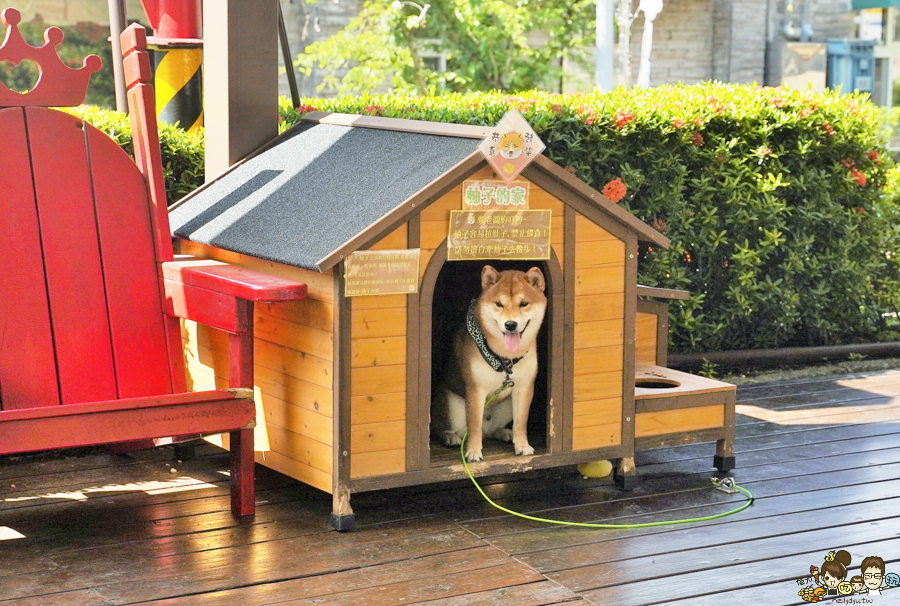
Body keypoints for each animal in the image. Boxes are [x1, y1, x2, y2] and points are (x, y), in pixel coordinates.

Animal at [430, 264, 548, 460]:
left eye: (523, 304)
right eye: (499, 304)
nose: (510, 324)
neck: (504, 358)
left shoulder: (523, 388)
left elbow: (521, 422)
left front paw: (522, 446)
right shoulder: (476, 389)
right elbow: (474, 425)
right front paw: (473, 452)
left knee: (491, 430)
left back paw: (504, 432)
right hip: (449, 401)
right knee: (440, 427)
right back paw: (450, 437)